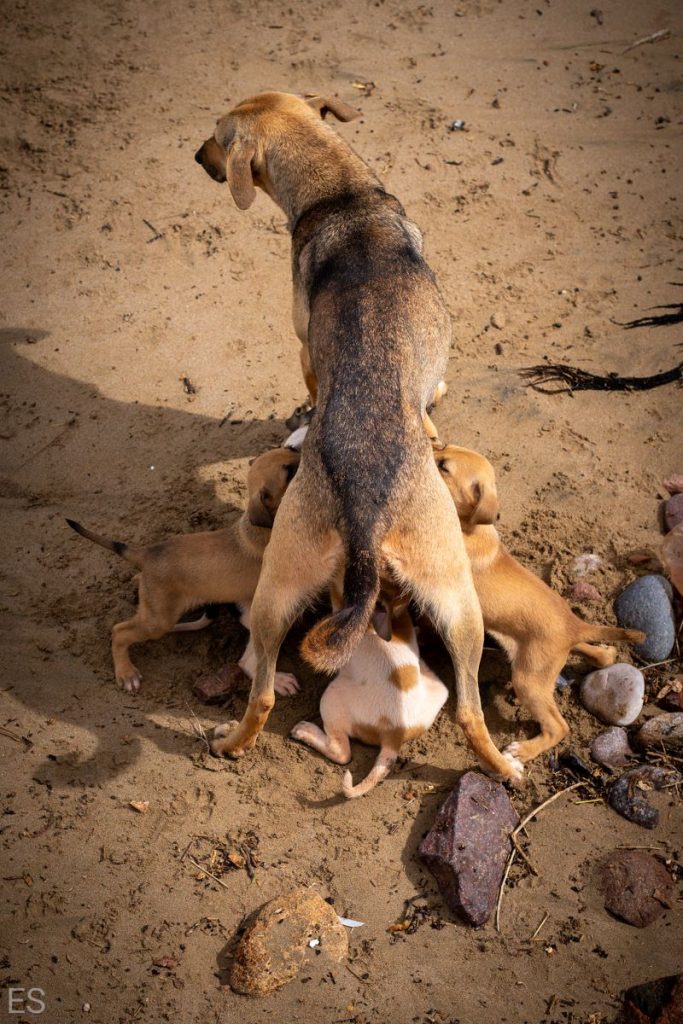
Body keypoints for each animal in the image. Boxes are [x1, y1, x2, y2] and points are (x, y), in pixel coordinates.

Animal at [66, 446, 299, 692]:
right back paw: (126, 673)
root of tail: (147, 553)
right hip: (158, 621)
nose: (304, 450)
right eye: (289, 473)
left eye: (291, 450)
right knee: (119, 632)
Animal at [438, 444, 647, 765]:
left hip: (528, 680)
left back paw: (523, 751)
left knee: (558, 727)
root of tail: (575, 623)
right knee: (599, 656)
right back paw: (603, 652)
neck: (472, 527)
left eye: (443, 466)